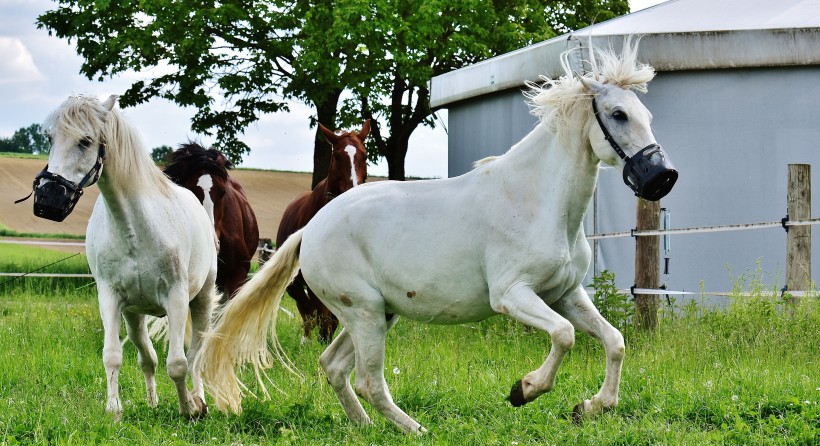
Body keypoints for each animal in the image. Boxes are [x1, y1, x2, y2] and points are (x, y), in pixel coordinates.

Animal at [36, 95, 218, 422]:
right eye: (50, 138)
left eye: (85, 140)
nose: (48, 199)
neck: (134, 228)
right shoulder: (110, 297)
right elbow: (113, 356)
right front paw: (114, 410)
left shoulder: (176, 297)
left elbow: (178, 363)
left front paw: (187, 410)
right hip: (134, 314)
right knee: (148, 358)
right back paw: (153, 402)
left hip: (202, 299)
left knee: (196, 354)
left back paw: (199, 401)